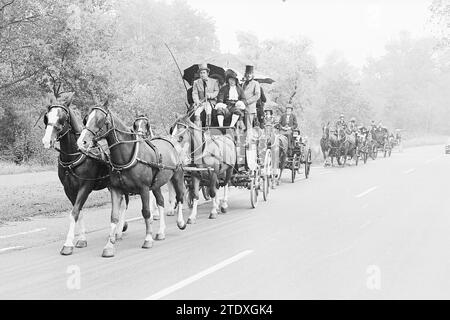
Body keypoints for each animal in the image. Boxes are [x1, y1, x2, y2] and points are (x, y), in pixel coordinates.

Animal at [40, 92, 128, 255]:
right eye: (47, 117)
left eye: (62, 117)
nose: (46, 141)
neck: (74, 156)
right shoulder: (68, 189)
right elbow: (78, 212)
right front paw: (81, 239)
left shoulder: (85, 187)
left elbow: (74, 212)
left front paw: (68, 244)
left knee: (124, 204)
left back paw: (118, 232)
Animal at [77, 102, 186, 258]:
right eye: (86, 119)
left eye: (100, 120)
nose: (82, 142)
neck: (126, 155)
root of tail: (171, 142)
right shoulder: (116, 190)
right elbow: (114, 216)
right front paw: (109, 246)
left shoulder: (144, 189)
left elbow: (146, 212)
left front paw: (148, 239)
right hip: (156, 185)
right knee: (160, 201)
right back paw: (161, 232)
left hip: (177, 177)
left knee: (180, 197)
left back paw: (181, 222)